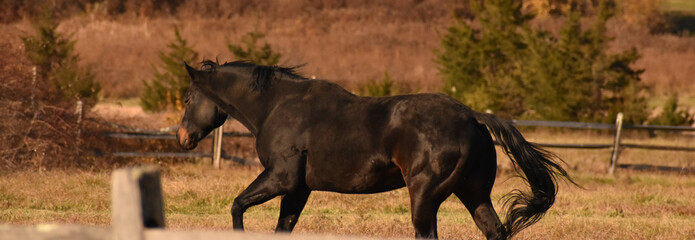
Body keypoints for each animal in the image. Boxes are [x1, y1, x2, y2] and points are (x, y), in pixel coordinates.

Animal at [177, 61, 572, 239]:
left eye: (188, 98)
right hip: (474, 194)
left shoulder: (281, 179)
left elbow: (237, 205)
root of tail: (472, 117)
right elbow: (282, 226)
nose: (182, 136)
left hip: (425, 197)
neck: (278, 106)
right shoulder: (299, 189)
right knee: (495, 231)